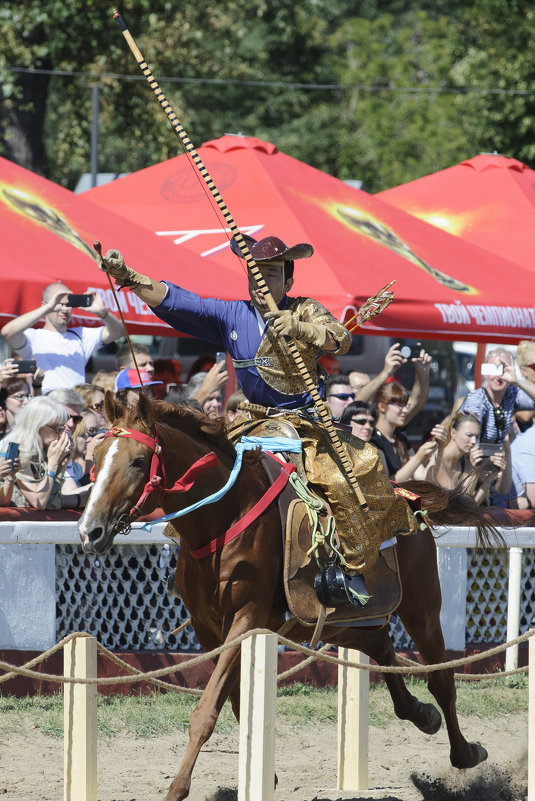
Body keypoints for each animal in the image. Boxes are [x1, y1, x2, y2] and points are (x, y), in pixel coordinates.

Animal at [78, 394, 498, 800]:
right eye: (95, 459)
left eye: (138, 461)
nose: (89, 530)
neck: (223, 518)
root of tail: (406, 497)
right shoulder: (207, 629)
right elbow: (233, 698)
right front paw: (265, 776)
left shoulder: (247, 617)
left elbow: (207, 711)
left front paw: (178, 789)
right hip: (333, 622)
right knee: (380, 646)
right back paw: (421, 715)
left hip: (421, 606)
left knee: (441, 678)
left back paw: (465, 752)